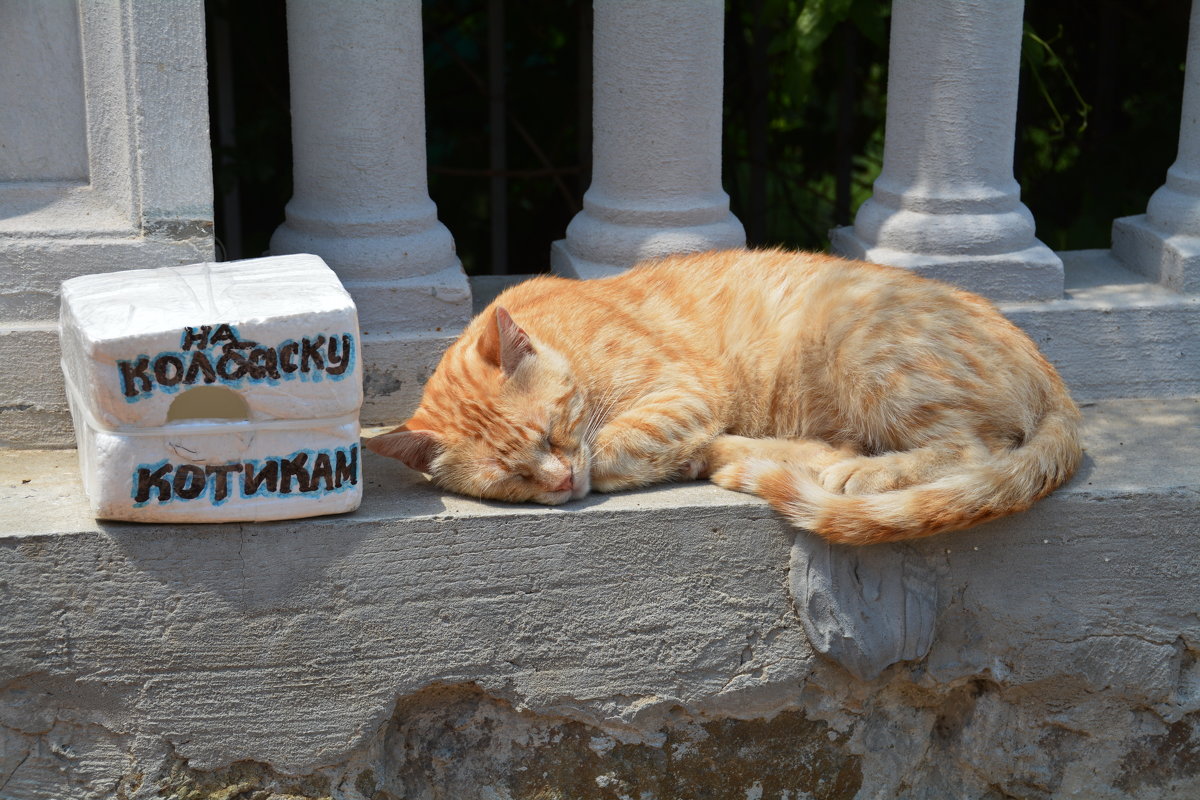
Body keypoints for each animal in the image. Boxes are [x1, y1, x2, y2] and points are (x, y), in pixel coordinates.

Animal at [367, 251, 1089, 544]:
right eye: (510, 479)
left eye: (550, 431)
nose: (558, 481)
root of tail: (1054, 377)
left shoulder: (685, 390)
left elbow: (612, 448)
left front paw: (614, 462)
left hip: (866, 343)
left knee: (973, 448)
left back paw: (858, 472)